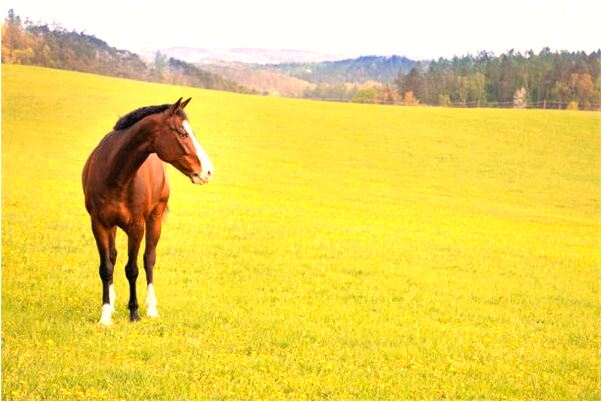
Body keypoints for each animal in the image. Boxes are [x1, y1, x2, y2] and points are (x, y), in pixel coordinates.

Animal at [81, 98, 213, 326]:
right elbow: (106, 267)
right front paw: (105, 314)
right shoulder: (99, 224)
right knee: (113, 257)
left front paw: (134, 313)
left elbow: (132, 269)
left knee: (149, 259)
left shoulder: (136, 228)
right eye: (183, 134)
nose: (208, 171)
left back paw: (151, 308)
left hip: (155, 220)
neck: (115, 174)